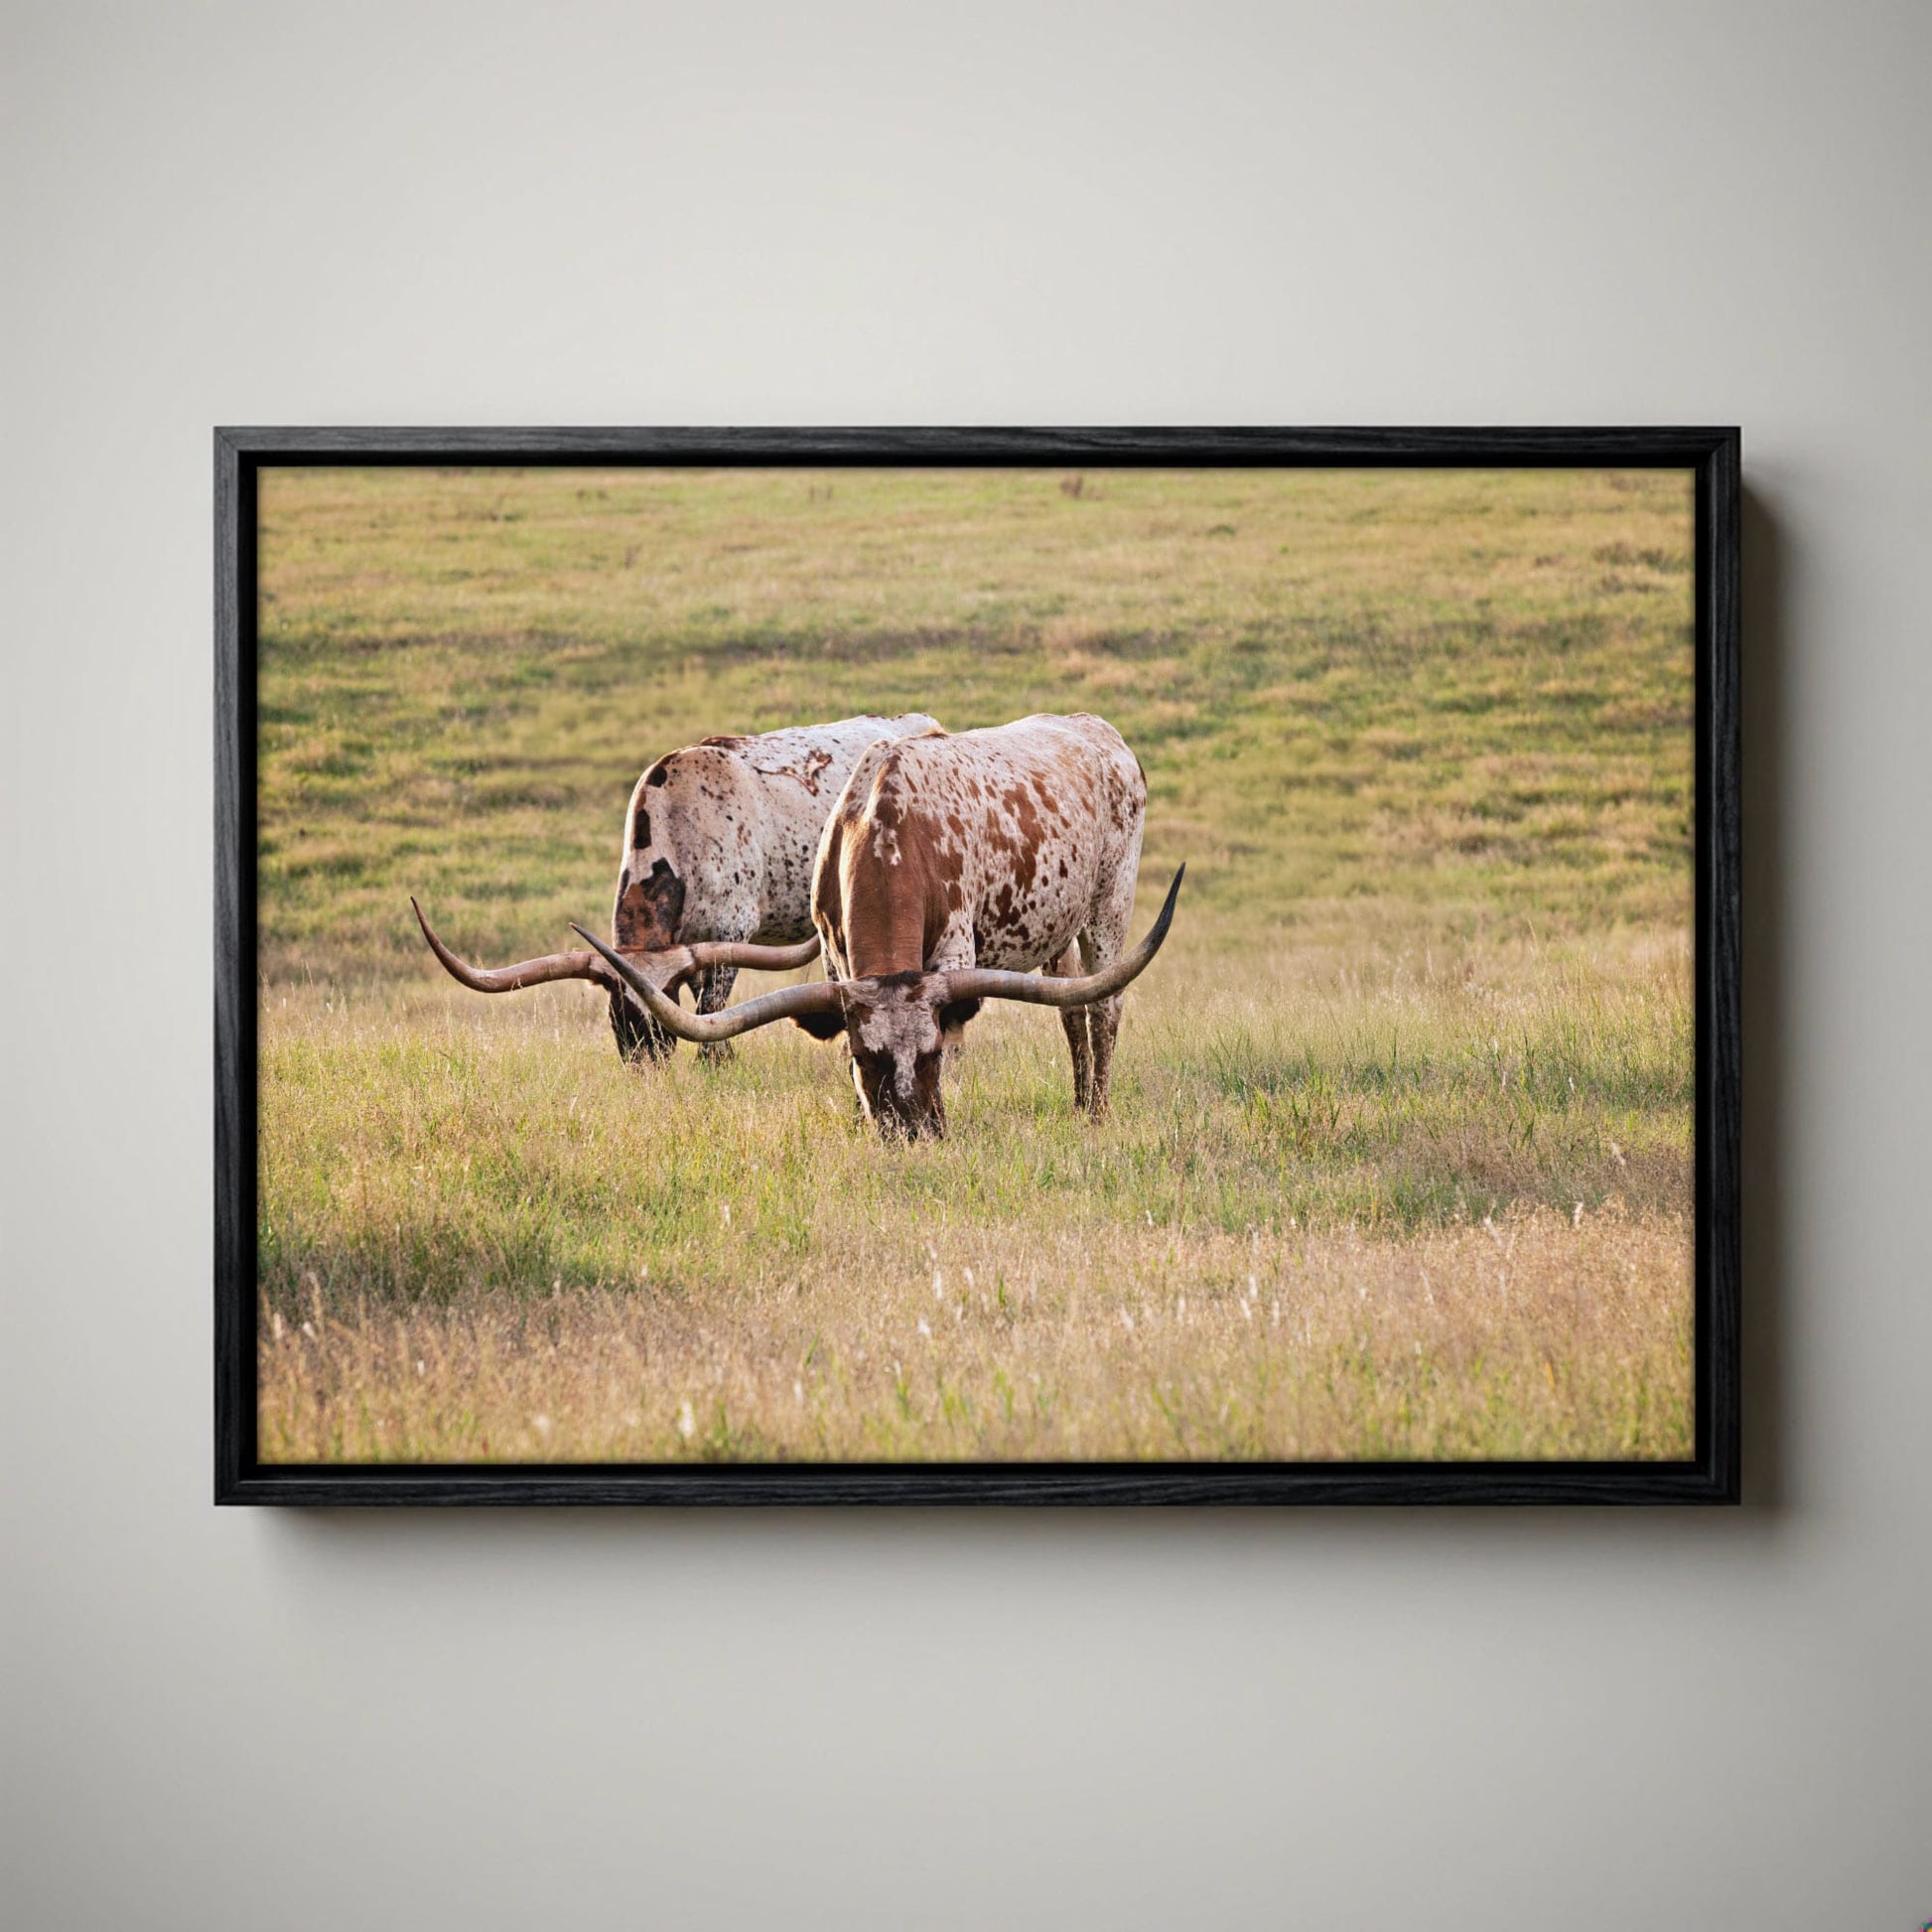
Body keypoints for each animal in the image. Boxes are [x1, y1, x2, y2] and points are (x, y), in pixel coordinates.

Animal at [411, 713, 938, 1062]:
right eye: (618, 1008)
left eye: (657, 1004)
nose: (644, 1061)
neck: (682, 828)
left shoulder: (730, 934)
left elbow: (712, 1010)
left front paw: (716, 1063)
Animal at [573, 713, 1183, 1139]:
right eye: (866, 1059)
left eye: (931, 1054)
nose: (912, 1134)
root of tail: (1098, 728)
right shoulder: (831, 951)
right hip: (1058, 927)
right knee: (1071, 1005)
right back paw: (1078, 1104)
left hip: (1108, 908)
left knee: (1105, 1005)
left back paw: (1097, 1112)